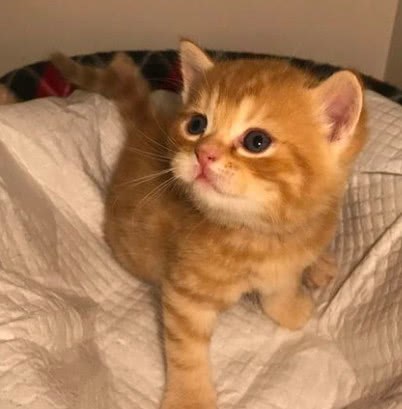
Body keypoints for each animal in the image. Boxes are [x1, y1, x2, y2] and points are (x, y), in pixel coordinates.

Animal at [52, 41, 366, 409]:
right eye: (197, 124)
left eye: (256, 141)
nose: (203, 153)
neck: (259, 236)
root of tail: (147, 130)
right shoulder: (184, 295)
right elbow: (186, 353)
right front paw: (190, 398)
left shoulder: (287, 260)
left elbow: (281, 288)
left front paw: (288, 309)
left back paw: (320, 264)